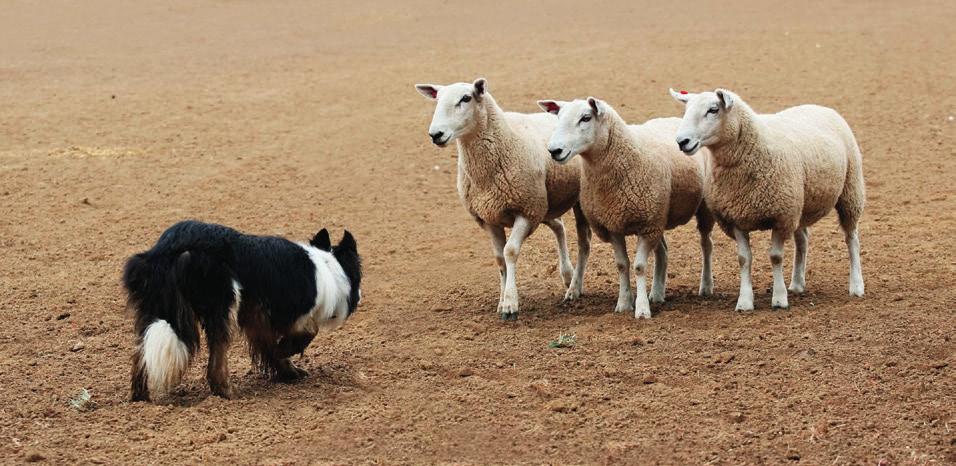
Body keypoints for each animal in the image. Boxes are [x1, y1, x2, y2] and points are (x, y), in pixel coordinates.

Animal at [123, 221, 362, 400]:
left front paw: (289, 371)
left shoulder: (257, 317)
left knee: (141, 353)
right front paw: (287, 351)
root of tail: (169, 249)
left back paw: (141, 397)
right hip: (223, 305)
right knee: (217, 358)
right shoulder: (289, 312)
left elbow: (271, 347)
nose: (360, 296)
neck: (326, 266)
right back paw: (226, 392)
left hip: (155, 309)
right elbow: (308, 332)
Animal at [536, 96, 712, 318]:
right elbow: (622, 265)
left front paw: (642, 309)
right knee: (663, 251)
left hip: (697, 209)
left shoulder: (646, 225)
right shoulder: (614, 225)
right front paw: (624, 302)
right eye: (558, 117)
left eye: (586, 118)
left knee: (706, 245)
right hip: (658, 215)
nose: (554, 151)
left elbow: (639, 267)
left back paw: (706, 287)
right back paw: (657, 293)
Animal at [672, 88, 868, 312]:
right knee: (803, 240)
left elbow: (775, 257)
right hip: (800, 204)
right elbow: (744, 259)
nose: (682, 141)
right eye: (686, 110)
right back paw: (797, 284)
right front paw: (745, 301)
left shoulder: (780, 217)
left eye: (713, 110)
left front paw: (779, 299)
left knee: (851, 238)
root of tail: (820, 106)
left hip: (850, 191)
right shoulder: (736, 218)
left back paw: (856, 285)